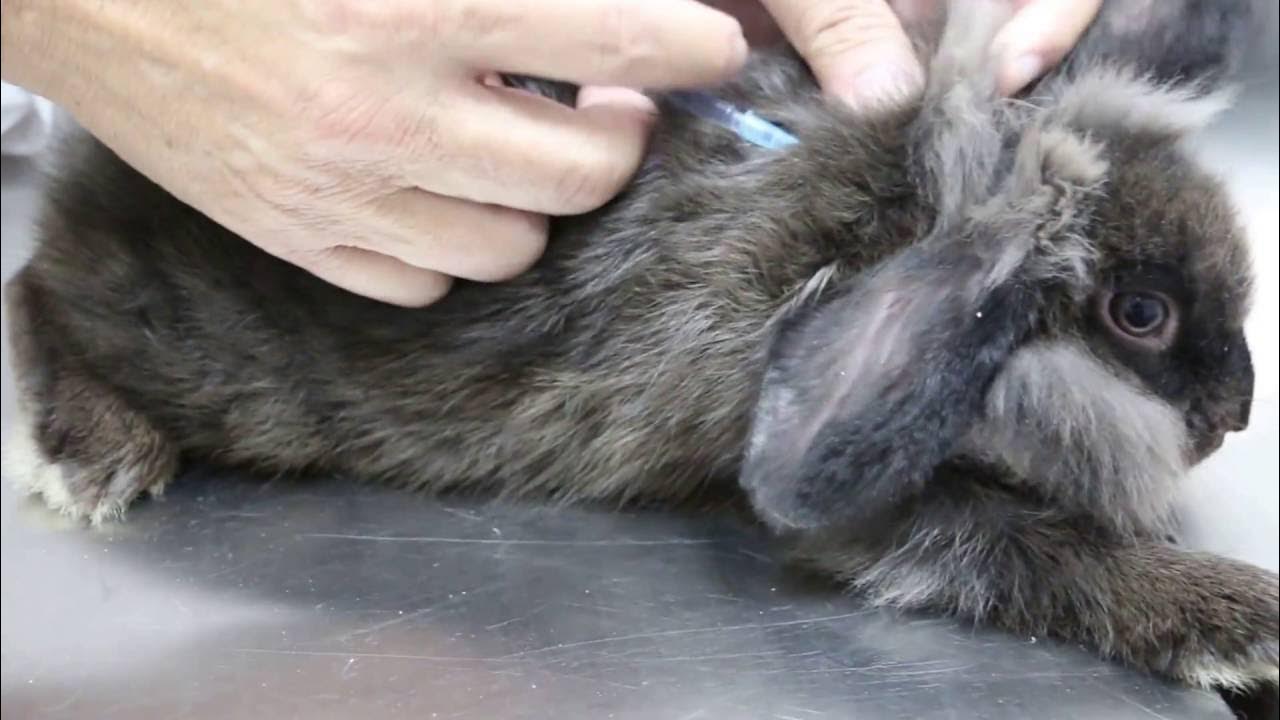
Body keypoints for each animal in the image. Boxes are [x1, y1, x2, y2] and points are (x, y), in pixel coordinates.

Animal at [3, 0, 1277, 713]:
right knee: (35, 293)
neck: (890, 217)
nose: (1237, 411)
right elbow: (1044, 552)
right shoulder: (885, 515)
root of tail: (100, 173)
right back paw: (91, 456)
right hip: (213, 363)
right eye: (1138, 313)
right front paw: (1239, 622)